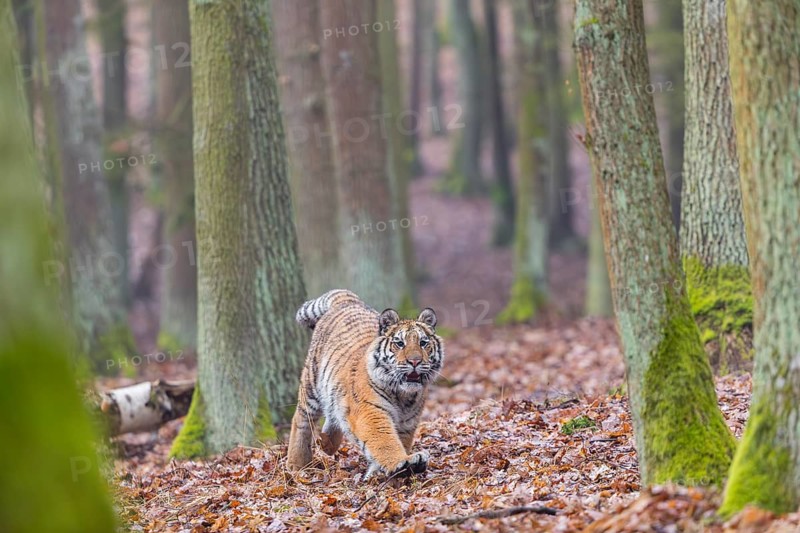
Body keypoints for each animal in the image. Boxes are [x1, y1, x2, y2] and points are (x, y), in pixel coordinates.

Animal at [286, 289, 444, 479]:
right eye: (400, 343)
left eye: (423, 343)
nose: (415, 361)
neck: (404, 396)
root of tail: (348, 300)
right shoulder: (370, 410)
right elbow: (385, 441)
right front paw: (403, 462)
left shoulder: (408, 423)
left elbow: (400, 442)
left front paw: (377, 473)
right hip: (312, 384)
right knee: (301, 419)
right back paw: (296, 464)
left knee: (333, 417)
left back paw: (325, 443)